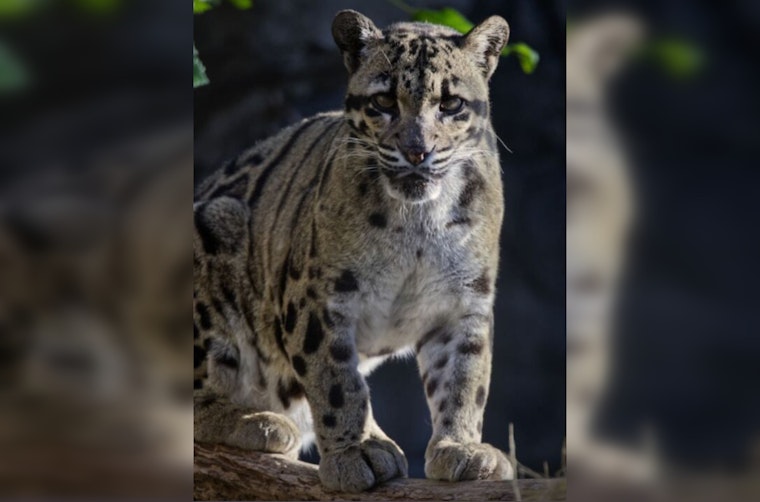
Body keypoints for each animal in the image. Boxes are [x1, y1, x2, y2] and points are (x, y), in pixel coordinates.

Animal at [193, 9, 513, 492]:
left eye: (451, 104)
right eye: (383, 102)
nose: (416, 152)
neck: (418, 221)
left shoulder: (465, 301)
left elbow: (464, 380)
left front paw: (461, 447)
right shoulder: (319, 299)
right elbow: (336, 379)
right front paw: (355, 450)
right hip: (211, 224)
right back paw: (258, 421)